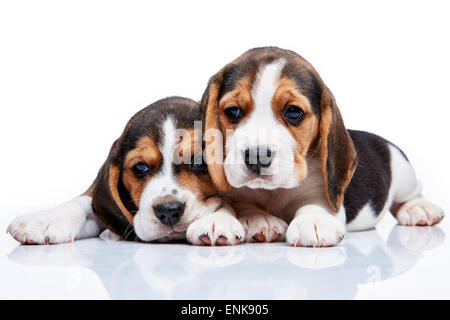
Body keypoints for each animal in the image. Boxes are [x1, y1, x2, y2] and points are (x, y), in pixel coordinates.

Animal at [7, 96, 244, 246]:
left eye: (198, 162)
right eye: (140, 167)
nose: (168, 211)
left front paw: (218, 220)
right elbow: (83, 204)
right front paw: (44, 220)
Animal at [202, 46, 444, 248]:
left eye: (293, 112)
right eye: (233, 111)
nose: (257, 157)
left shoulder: (323, 191)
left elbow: (315, 204)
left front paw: (313, 221)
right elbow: (238, 203)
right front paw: (255, 217)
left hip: (403, 170)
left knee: (411, 193)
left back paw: (418, 209)